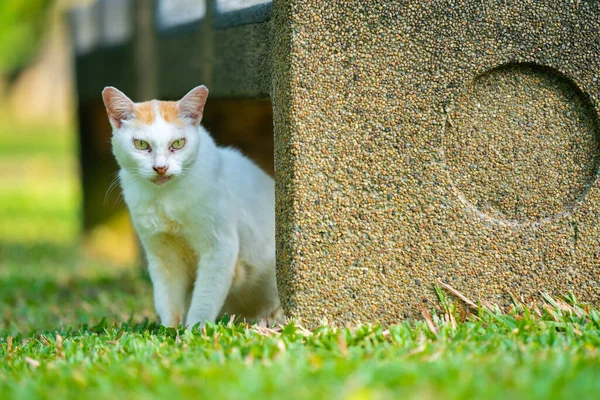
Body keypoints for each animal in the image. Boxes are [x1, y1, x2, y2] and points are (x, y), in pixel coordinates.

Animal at [102, 86, 282, 326]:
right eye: (141, 144)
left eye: (178, 143)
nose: (160, 167)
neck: (165, 199)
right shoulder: (163, 257)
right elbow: (167, 302)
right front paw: (169, 330)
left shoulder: (219, 248)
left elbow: (203, 301)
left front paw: (195, 329)